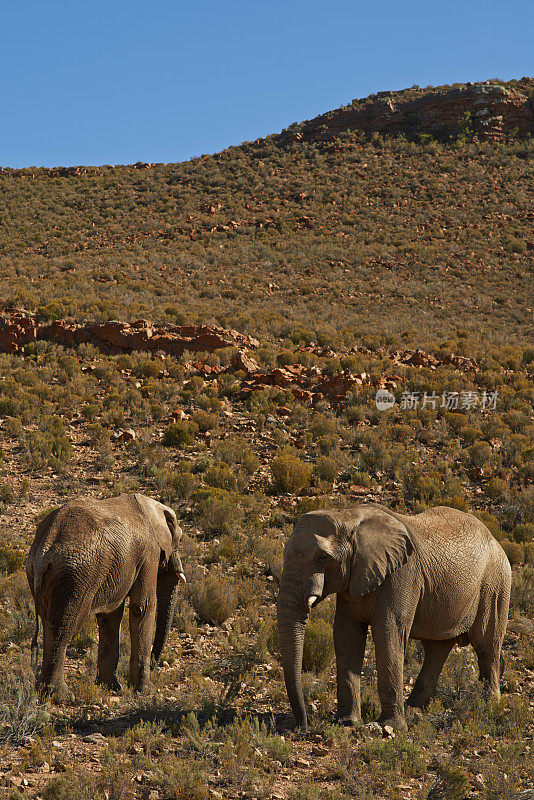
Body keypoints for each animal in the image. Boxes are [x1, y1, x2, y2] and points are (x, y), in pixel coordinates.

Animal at [26, 490, 187, 704]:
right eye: (179, 542)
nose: (155, 666)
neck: (150, 505)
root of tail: (45, 546)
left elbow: (110, 616)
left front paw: (110, 687)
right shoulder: (148, 554)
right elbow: (143, 607)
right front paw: (145, 691)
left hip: (42, 574)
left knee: (49, 624)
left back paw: (43, 691)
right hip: (76, 577)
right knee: (64, 628)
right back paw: (62, 696)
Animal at [278, 506, 512, 732]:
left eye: (322, 558)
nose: (303, 726)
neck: (348, 516)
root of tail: (495, 539)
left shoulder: (402, 575)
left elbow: (388, 633)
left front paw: (390, 726)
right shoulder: (351, 583)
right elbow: (347, 636)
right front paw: (346, 722)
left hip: (495, 584)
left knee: (486, 646)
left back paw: (489, 707)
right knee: (436, 649)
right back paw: (414, 710)